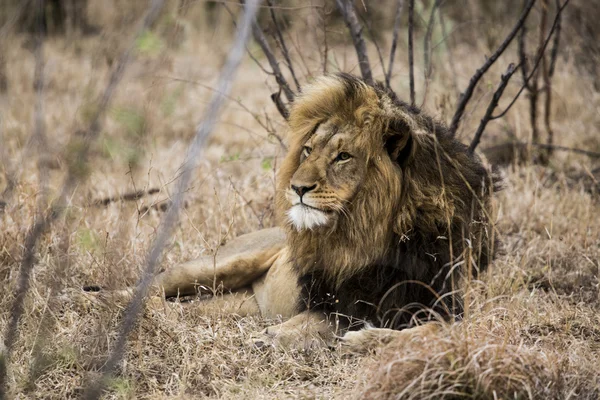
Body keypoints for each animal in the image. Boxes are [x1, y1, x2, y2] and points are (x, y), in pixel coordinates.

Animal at [86, 72, 500, 350]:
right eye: (308, 150)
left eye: (343, 156)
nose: (297, 188)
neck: (374, 234)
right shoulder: (336, 301)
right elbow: (317, 322)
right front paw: (277, 337)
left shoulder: (449, 306)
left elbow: (433, 332)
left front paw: (365, 340)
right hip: (215, 265)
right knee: (147, 286)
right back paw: (90, 298)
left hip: (227, 305)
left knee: (179, 308)